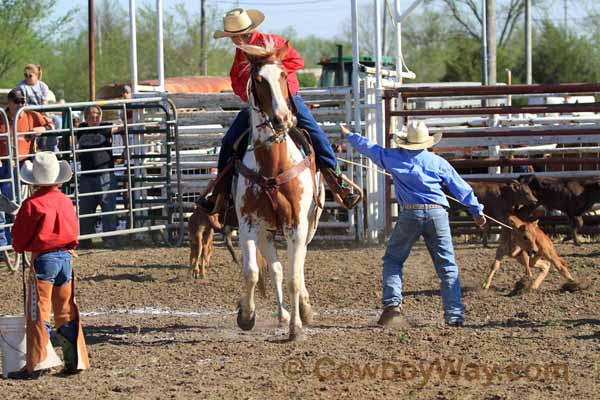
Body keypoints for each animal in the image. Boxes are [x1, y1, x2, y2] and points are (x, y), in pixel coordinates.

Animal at [234, 39, 326, 340]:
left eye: (284, 75)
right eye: (258, 80)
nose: (282, 118)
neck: (273, 166)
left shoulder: (297, 224)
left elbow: (294, 277)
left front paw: (297, 327)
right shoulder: (248, 224)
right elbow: (252, 272)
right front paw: (246, 315)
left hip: (309, 227)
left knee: (299, 265)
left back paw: (303, 310)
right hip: (266, 231)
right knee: (274, 269)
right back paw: (282, 314)